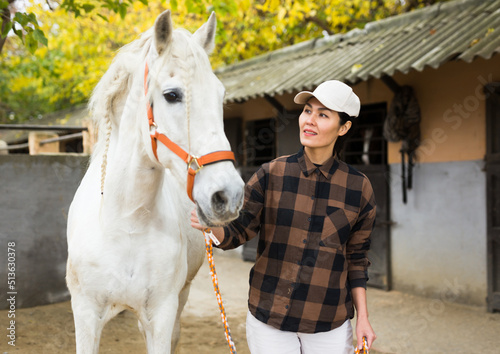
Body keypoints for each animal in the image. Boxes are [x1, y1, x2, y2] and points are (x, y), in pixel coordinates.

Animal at [65, 10, 245, 352]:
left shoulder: (162, 314)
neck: (126, 221)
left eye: (220, 96)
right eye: (172, 95)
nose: (228, 195)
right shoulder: (85, 315)